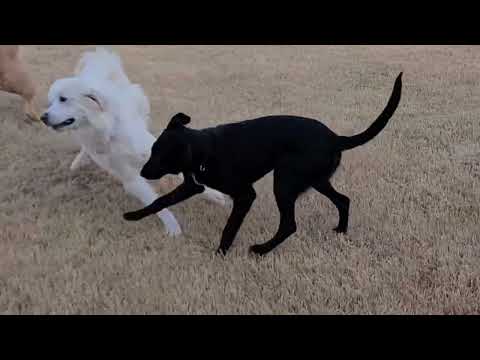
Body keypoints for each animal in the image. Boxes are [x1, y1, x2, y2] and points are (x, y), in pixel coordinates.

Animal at [40, 47, 225, 236]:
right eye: (50, 102)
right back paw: (77, 162)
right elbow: (156, 204)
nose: (43, 117)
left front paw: (212, 194)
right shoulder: (130, 178)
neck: (108, 131)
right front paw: (172, 227)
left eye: (63, 99)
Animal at [124, 73, 402, 256]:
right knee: (343, 200)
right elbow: (160, 201)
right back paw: (341, 230)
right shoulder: (192, 186)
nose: (142, 172)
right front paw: (134, 215)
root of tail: (336, 138)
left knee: (289, 224)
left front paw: (221, 251)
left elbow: (230, 226)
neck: (203, 149)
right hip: (316, 179)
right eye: (152, 151)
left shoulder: (245, 195)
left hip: (285, 181)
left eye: (161, 157)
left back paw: (261, 249)